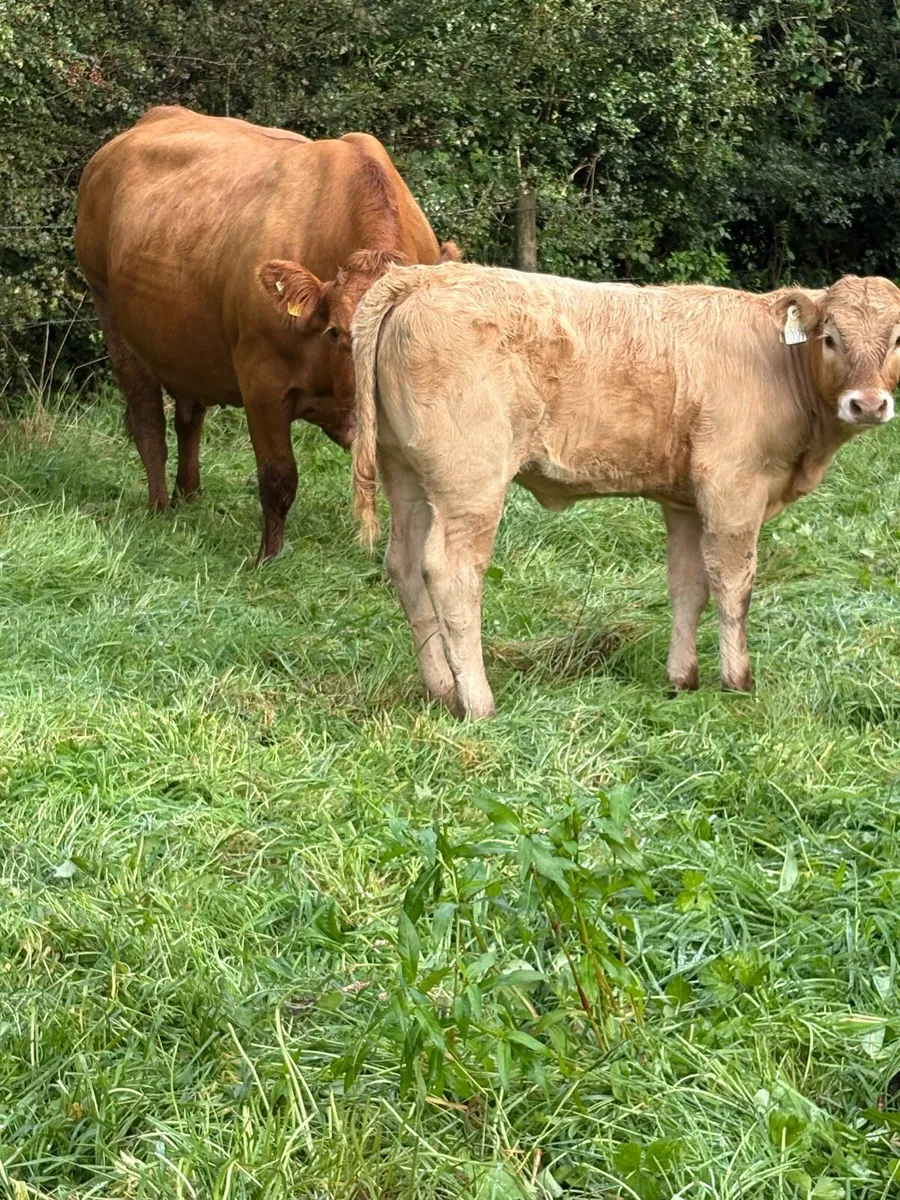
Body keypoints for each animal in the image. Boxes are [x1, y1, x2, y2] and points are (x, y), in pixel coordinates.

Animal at [75, 105, 458, 561]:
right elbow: (278, 478)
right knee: (148, 420)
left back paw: (190, 494)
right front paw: (267, 558)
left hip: (188, 341)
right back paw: (161, 508)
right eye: (336, 332)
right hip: (112, 317)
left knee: (189, 417)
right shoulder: (262, 382)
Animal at [349, 262, 899, 718]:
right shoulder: (733, 490)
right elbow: (733, 587)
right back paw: (477, 702)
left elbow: (688, 586)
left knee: (404, 564)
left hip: (407, 475)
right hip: (470, 482)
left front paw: (682, 679)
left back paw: (441, 689)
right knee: (452, 573)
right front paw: (737, 682)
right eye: (830, 338)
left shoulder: (685, 502)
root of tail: (424, 274)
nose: (868, 404)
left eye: (897, 340)